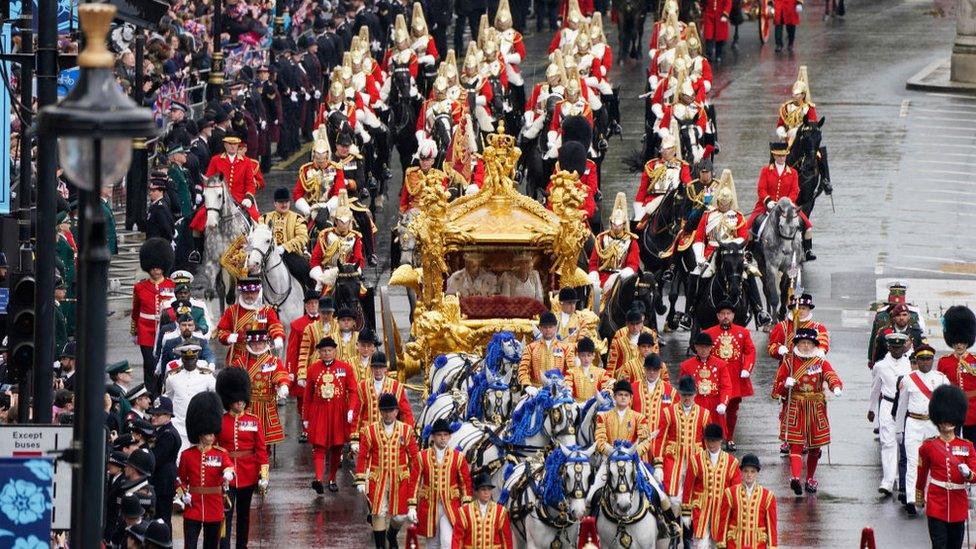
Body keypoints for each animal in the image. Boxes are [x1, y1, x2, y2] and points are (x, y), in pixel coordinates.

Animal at [195, 176, 252, 312]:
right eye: (204, 195)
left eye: (219, 195)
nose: (211, 223)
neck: (223, 230)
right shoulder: (212, 263)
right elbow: (209, 293)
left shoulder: (234, 265)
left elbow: (231, 297)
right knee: (221, 289)